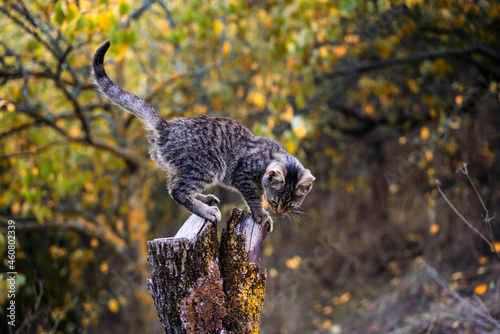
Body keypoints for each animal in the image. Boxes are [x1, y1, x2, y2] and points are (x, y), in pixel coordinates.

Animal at [92, 40, 314, 231]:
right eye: (276, 201)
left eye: (290, 206)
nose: (280, 212)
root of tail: (166, 126)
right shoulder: (243, 176)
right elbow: (253, 198)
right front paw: (261, 215)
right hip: (207, 166)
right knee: (178, 191)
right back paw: (206, 211)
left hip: (183, 169)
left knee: (174, 187)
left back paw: (205, 200)